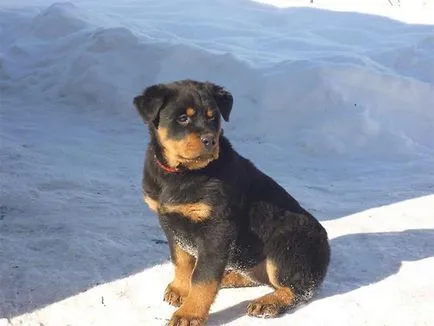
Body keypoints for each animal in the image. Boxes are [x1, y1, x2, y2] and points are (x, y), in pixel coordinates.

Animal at [132, 79, 328, 326]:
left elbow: (203, 277)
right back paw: (229, 276)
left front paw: (189, 314)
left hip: (287, 244)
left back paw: (269, 303)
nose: (210, 140)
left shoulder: (217, 229)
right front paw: (180, 289)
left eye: (212, 118)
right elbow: (182, 260)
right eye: (182, 118)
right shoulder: (170, 222)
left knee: (297, 287)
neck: (181, 174)